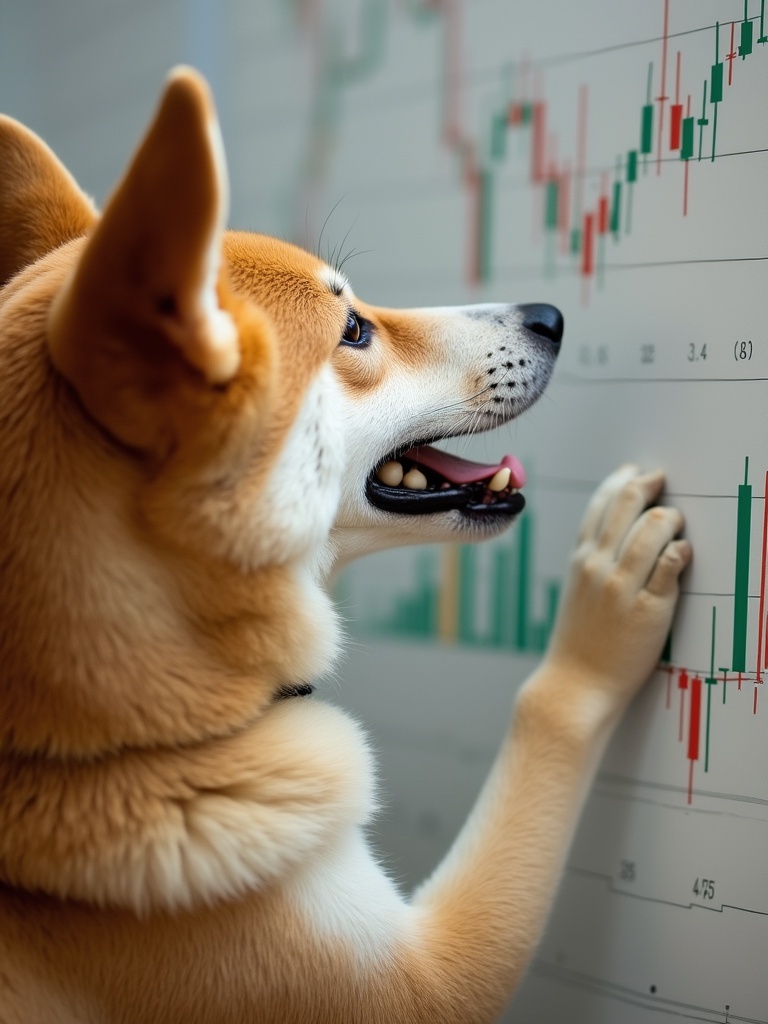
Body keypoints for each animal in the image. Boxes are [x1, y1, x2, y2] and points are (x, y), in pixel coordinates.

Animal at [0, 68, 692, 1019]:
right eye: (354, 331)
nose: (549, 313)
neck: (117, 741)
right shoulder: (422, 983)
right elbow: (546, 711)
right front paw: (600, 608)